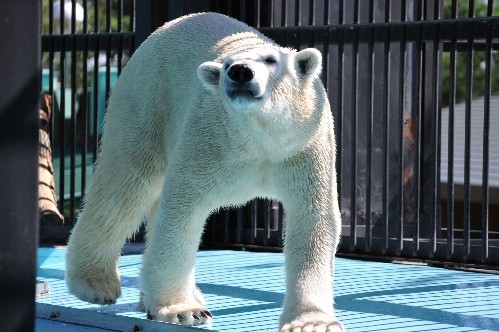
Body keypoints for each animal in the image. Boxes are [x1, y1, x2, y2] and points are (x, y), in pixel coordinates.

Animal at [65, 11, 344, 330]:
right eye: (227, 64)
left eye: (271, 60)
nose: (240, 72)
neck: (260, 140)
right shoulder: (211, 138)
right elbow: (182, 207)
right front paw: (182, 310)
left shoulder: (303, 146)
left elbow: (313, 219)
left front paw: (313, 321)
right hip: (148, 100)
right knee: (128, 183)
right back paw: (95, 283)